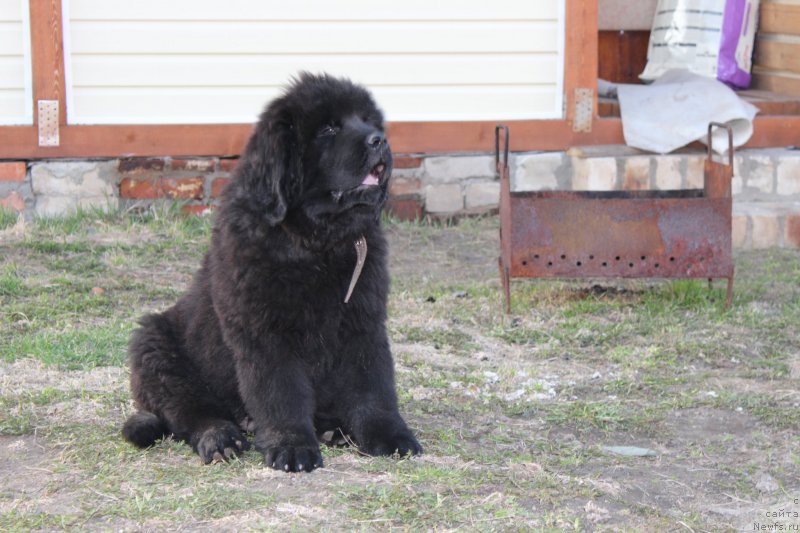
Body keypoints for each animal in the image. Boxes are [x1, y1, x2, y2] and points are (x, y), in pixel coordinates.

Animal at [122, 72, 422, 472]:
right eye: (329, 128)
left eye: (368, 121)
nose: (380, 140)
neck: (315, 243)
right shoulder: (265, 331)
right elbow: (281, 393)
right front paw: (292, 446)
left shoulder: (362, 322)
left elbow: (373, 387)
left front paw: (392, 437)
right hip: (155, 348)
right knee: (190, 411)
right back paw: (221, 438)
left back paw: (331, 428)